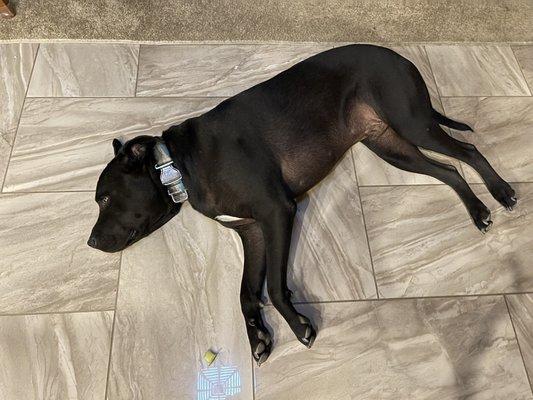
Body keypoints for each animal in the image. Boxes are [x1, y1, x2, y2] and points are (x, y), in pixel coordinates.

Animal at [87, 43, 516, 366]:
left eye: (104, 197)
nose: (90, 243)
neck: (175, 164)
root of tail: (398, 55)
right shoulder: (252, 231)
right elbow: (246, 292)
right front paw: (257, 336)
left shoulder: (277, 213)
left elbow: (276, 287)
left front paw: (298, 326)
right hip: (392, 146)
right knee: (450, 170)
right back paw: (477, 212)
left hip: (413, 122)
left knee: (468, 152)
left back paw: (500, 192)